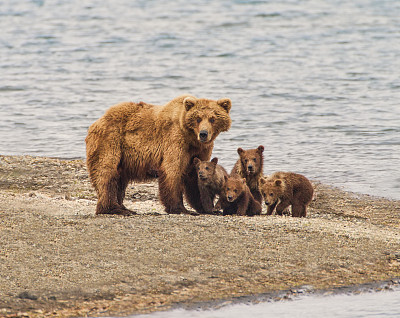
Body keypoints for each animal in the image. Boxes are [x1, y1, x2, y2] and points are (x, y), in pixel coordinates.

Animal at [86, 94, 233, 214]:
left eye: (212, 119)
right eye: (198, 118)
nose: (203, 134)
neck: (191, 138)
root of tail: (96, 122)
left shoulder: (200, 150)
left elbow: (196, 175)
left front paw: (205, 208)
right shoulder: (175, 141)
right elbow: (172, 171)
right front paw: (179, 208)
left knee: (120, 178)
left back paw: (124, 207)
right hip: (111, 141)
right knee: (107, 173)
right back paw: (113, 208)